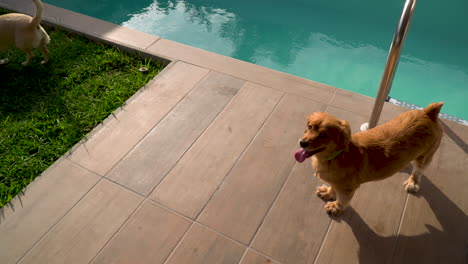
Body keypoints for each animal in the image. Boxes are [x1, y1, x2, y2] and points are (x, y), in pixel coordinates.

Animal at [294, 102, 444, 216]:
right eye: (309, 127)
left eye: (323, 135)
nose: (302, 143)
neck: (336, 156)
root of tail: (428, 112)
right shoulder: (336, 181)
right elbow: (333, 187)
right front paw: (329, 192)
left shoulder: (347, 189)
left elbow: (342, 200)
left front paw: (335, 207)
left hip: (424, 156)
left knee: (418, 171)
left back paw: (412, 182)